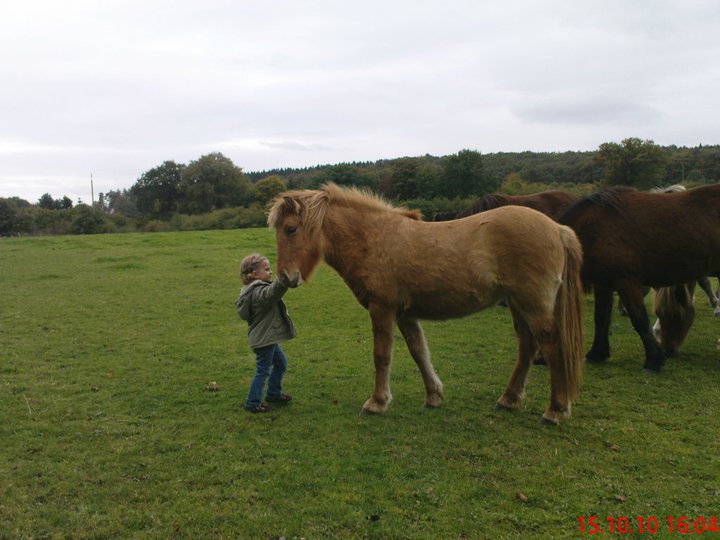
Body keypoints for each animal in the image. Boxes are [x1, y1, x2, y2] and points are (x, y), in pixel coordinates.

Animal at [270, 184, 584, 424]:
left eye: (290, 229)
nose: (285, 277)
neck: (374, 239)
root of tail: (558, 229)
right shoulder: (405, 314)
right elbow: (419, 352)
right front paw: (434, 395)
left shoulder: (382, 309)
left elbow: (382, 355)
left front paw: (377, 402)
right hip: (518, 304)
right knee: (527, 346)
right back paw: (509, 399)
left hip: (534, 305)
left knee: (551, 346)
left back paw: (555, 410)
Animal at [560, 185, 720, 372]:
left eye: (676, 315)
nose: (669, 350)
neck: (594, 228)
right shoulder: (603, 284)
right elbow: (601, 318)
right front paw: (597, 353)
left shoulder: (626, 283)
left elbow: (640, 321)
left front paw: (653, 360)